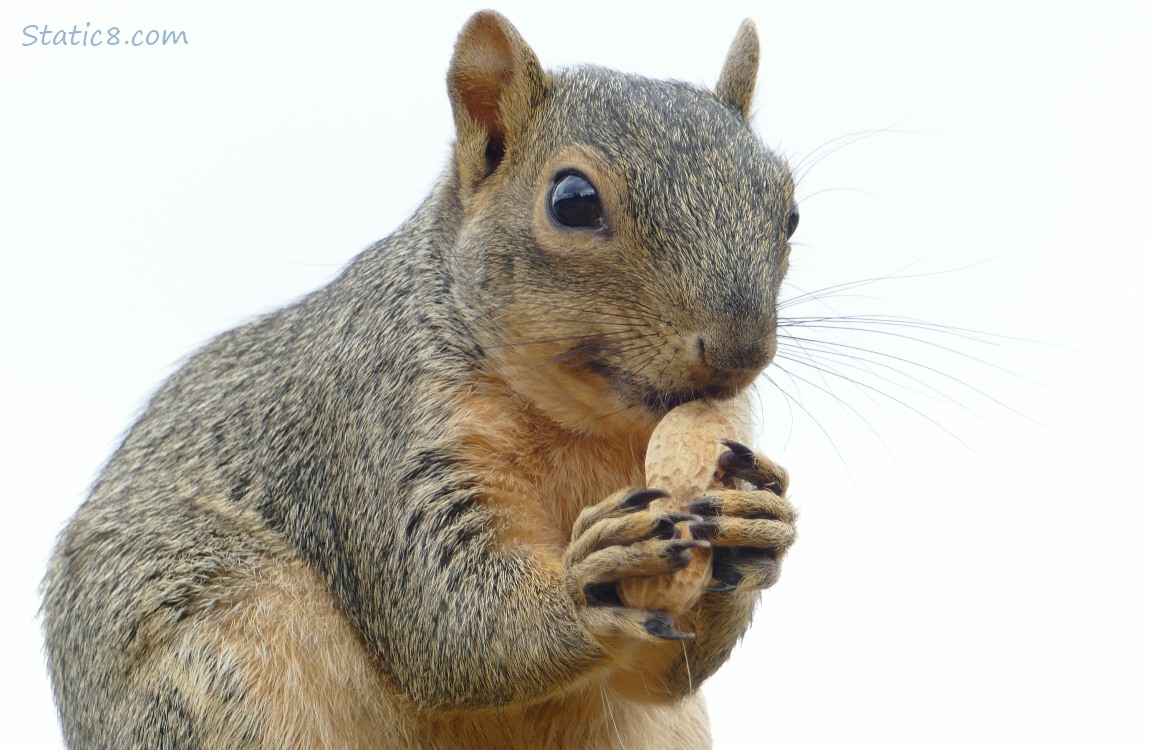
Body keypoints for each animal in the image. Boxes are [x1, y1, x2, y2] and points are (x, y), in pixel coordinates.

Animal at [42, 11, 800, 750]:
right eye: (574, 200)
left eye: (790, 213)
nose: (741, 349)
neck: (586, 425)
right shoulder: (380, 427)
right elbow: (446, 619)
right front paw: (590, 583)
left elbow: (659, 674)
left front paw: (756, 521)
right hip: (218, 671)